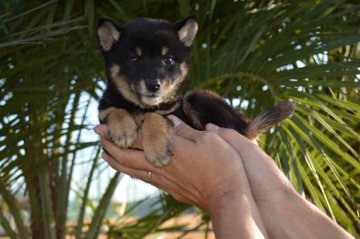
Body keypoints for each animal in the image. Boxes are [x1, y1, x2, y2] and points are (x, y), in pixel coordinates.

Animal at [96, 15, 296, 167]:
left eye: (168, 60)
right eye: (133, 59)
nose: (154, 85)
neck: (141, 107)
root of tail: (246, 125)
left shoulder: (175, 113)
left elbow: (155, 117)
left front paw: (157, 149)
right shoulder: (104, 116)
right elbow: (115, 111)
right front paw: (123, 130)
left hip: (197, 97)